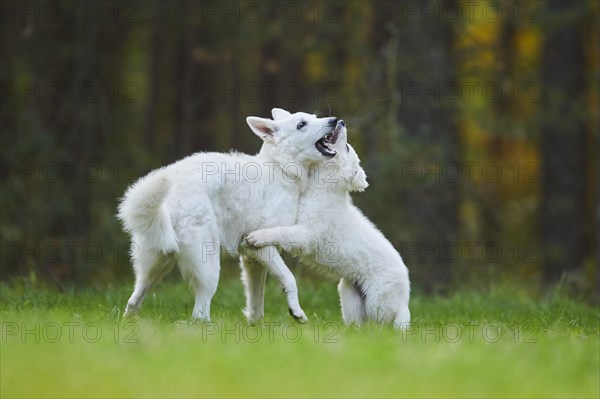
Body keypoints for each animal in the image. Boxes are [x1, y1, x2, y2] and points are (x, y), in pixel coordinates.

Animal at [118, 108, 344, 322]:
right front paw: (296, 312)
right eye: (301, 124)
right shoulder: (260, 246)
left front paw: (255, 325)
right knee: (199, 314)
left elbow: (257, 302)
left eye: (314, 117)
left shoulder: (252, 259)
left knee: (133, 301)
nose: (336, 120)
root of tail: (167, 203)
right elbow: (289, 279)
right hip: (207, 268)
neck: (280, 169)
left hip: (155, 266)